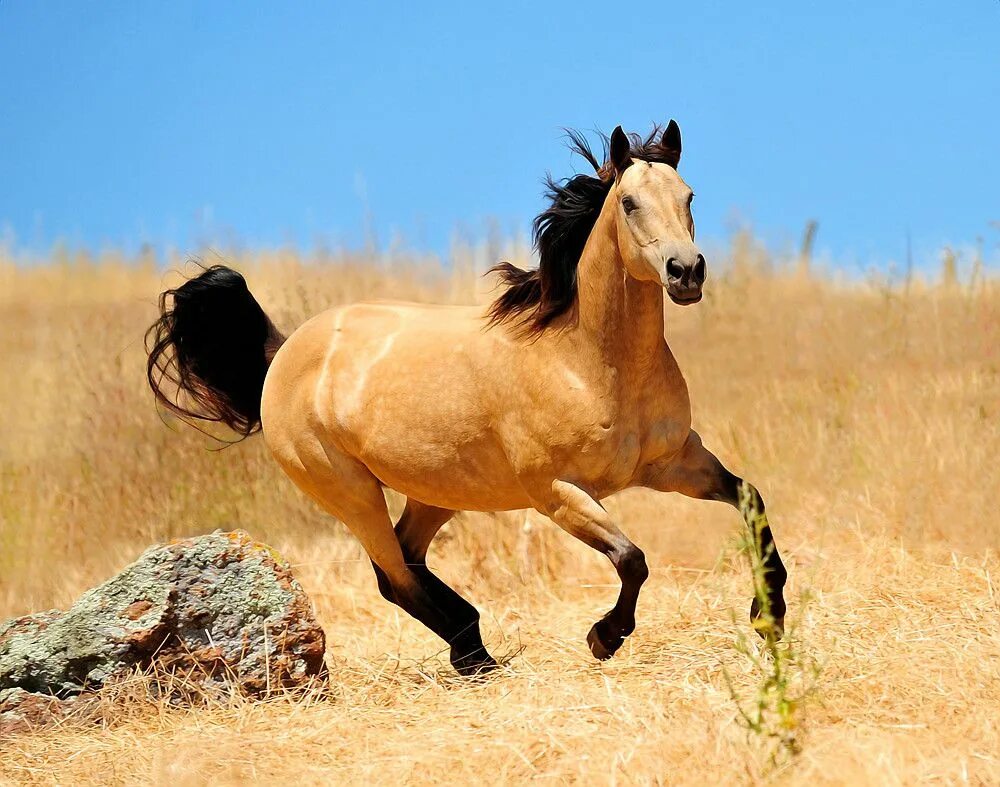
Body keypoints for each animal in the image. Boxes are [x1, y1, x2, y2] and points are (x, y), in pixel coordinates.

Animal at [146, 121, 788, 676]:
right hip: (349, 491)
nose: (686, 272)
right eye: (629, 203)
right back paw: (476, 655)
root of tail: (283, 353)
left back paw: (471, 646)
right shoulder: (556, 493)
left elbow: (751, 501)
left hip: (437, 489)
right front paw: (603, 637)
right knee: (394, 576)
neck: (589, 363)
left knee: (407, 559)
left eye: (689, 197)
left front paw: (770, 617)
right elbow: (633, 559)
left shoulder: (674, 462)